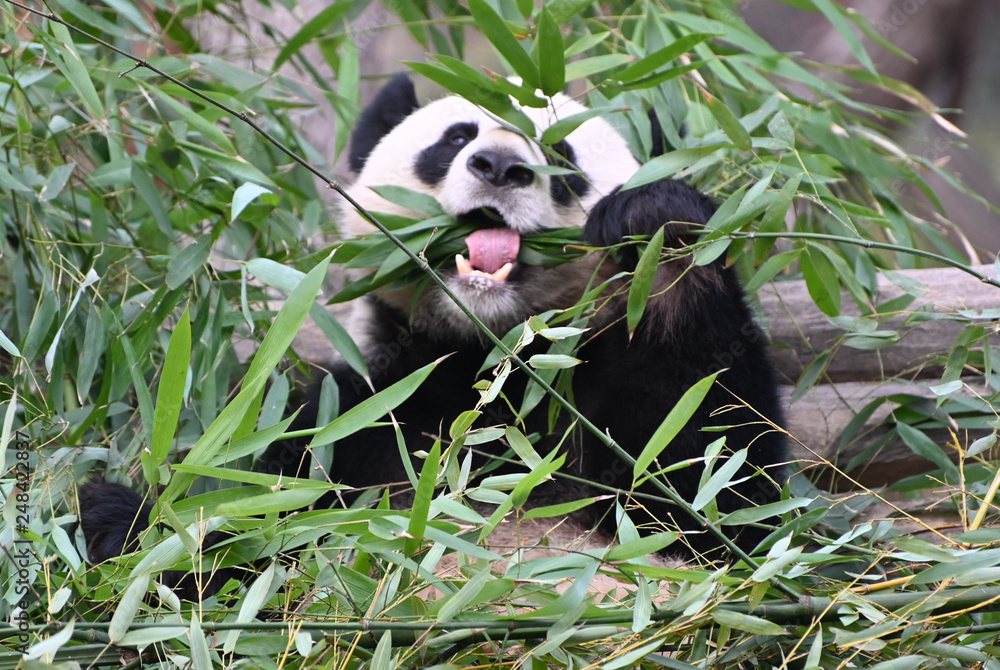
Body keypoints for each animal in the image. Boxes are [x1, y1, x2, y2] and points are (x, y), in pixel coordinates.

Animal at [79, 74, 786, 589]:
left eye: (562, 155)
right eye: (454, 138)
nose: (499, 166)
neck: (489, 361)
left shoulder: (593, 406)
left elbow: (714, 492)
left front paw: (656, 227)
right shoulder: (353, 415)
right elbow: (256, 523)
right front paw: (122, 518)